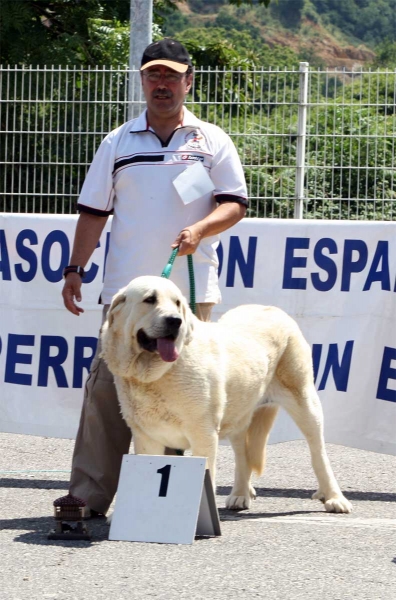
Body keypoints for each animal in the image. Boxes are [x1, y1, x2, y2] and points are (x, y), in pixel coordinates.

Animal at [100, 274, 352, 512]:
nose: (175, 321)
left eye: (178, 303)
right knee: (243, 454)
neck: (154, 374)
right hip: (239, 411)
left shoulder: (203, 433)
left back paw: (334, 498)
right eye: (150, 299)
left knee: (318, 452)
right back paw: (240, 494)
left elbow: (207, 476)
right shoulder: (146, 437)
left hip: (305, 402)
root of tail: (272, 308)